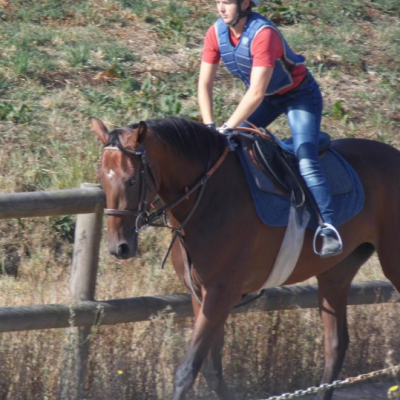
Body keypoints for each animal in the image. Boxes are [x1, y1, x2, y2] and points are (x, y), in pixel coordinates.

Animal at [90, 116, 400, 400]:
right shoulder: (201, 295)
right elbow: (212, 370)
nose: (119, 247)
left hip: (392, 264)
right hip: (336, 273)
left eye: (131, 179)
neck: (209, 197)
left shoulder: (221, 293)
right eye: (101, 179)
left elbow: (188, 370)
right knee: (335, 345)